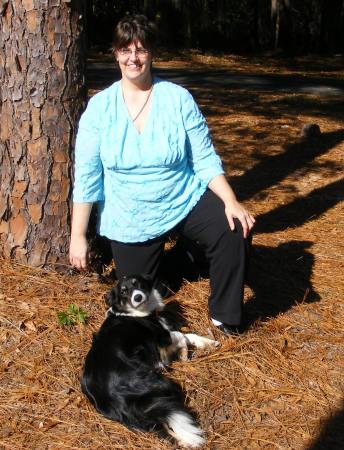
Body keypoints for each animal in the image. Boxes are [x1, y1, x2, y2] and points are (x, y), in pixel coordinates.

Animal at [82, 274, 219, 446]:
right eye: (123, 292)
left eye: (137, 283)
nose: (138, 297)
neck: (132, 312)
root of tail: (114, 397)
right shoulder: (162, 338)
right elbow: (183, 336)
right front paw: (185, 354)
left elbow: (187, 335)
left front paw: (207, 343)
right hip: (163, 383)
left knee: (161, 427)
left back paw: (185, 441)